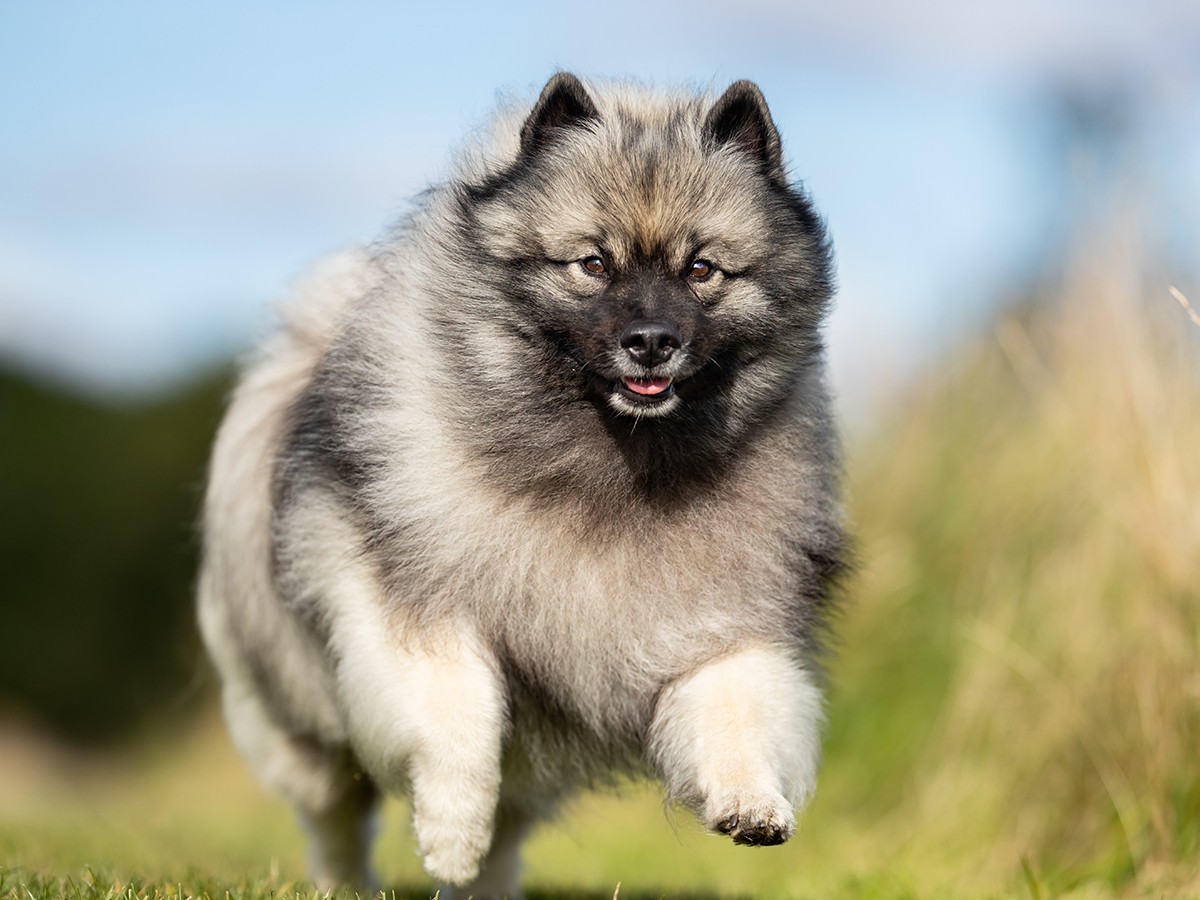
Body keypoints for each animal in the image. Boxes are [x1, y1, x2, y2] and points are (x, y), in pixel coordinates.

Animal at [199, 72, 844, 900]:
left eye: (701, 270)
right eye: (593, 264)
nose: (652, 343)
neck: (610, 470)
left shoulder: (716, 626)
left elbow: (737, 712)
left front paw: (752, 802)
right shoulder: (422, 614)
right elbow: (456, 725)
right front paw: (448, 836)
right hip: (294, 708)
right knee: (335, 812)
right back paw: (348, 884)